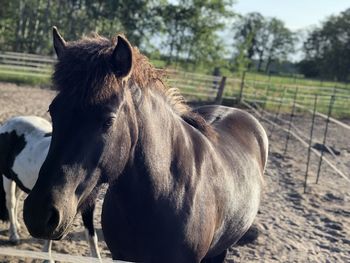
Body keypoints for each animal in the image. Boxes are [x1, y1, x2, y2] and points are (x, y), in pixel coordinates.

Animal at [0, 116, 101, 260]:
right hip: (7, 177)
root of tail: (8, 123)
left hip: (18, 179)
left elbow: (92, 236)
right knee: (11, 203)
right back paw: (14, 235)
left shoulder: (89, 204)